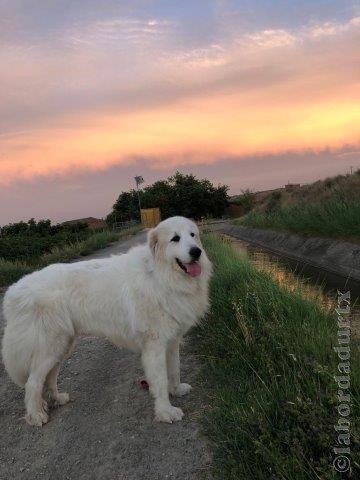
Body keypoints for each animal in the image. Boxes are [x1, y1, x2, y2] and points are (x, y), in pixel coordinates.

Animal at [2, 216, 211, 426]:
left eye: (193, 235)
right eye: (175, 238)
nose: (196, 252)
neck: (159, 274)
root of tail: (14, 291)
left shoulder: (172, 341)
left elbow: (174, 369)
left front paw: (176, 390)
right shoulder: (155, 344)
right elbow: (160, 381)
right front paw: (165, 411)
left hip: (61, 346)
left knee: (49, 377)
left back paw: (57, 399)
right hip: (50, 346)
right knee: (33, 383)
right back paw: (36, 415)